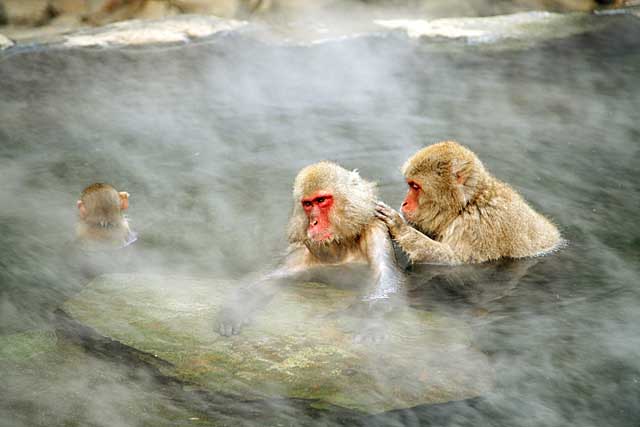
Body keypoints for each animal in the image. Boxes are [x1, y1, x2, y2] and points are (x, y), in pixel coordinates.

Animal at [218, 160, 402, 338]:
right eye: (307, 204)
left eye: (321, 200)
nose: (313, 222)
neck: (340, 247)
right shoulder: (302, 254)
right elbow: (266, 281)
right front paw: (235, 310)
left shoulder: (375, 229)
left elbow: (385, 278)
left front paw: (372, 321)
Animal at [378, 142, 564, 266]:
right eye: (410, 185)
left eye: (415, 187)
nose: (404, 203)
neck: (469, 203)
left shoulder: (479, 226)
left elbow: (456, 260)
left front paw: (399, 226)